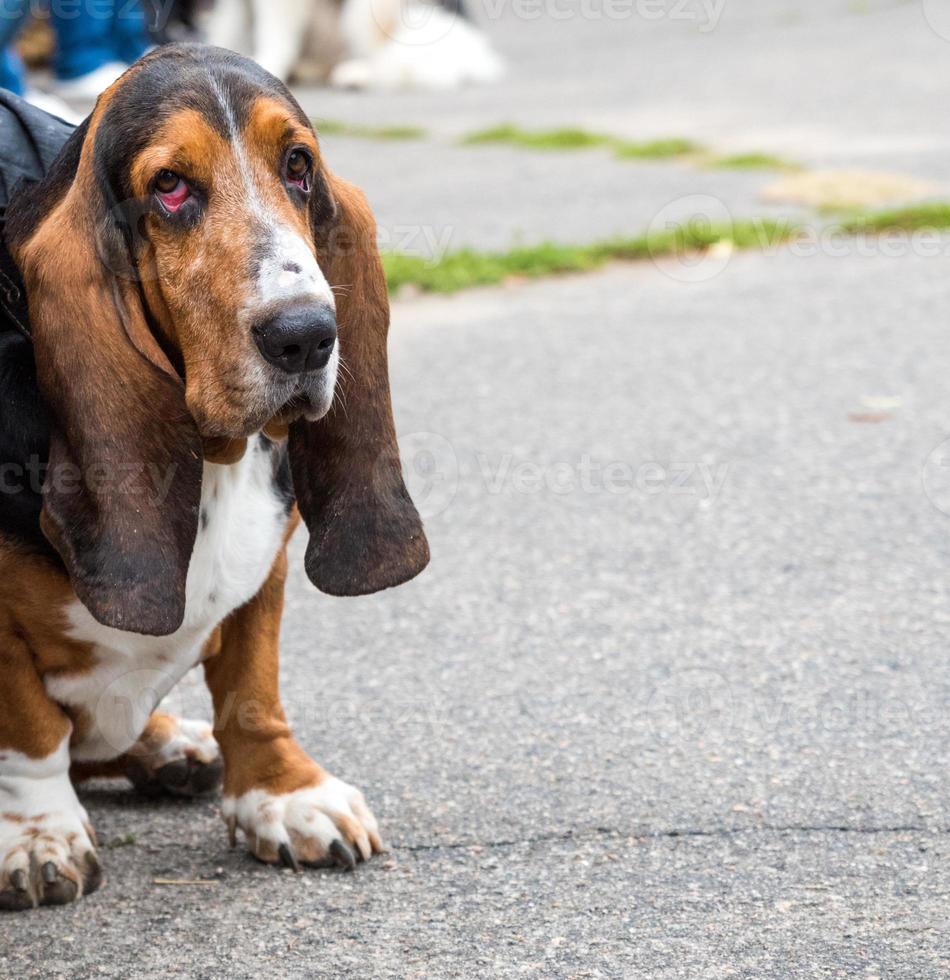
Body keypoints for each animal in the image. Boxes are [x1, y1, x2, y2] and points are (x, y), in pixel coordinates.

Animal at [0, 40, 428, 912]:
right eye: (169, 186)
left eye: (298, 165)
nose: (307, 334)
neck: (213, 461)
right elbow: (29, 727)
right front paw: (35, 836)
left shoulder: (265, 570)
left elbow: (252, 689)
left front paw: (285, 793)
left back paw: (170, 747)